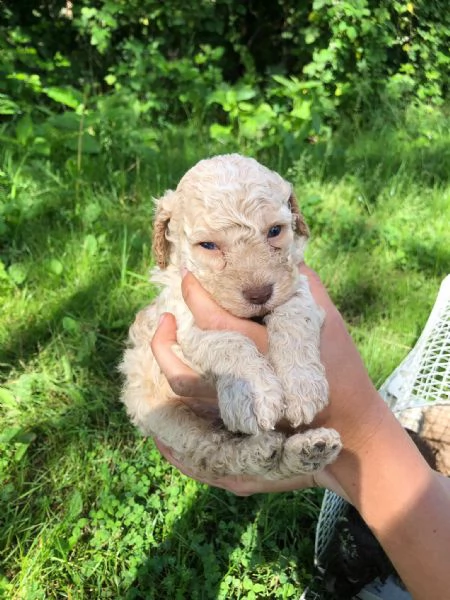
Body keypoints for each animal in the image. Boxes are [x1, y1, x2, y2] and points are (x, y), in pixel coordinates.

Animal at [119, 154, 342, 478]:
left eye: (275, 231)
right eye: (208, 245)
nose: (260, 295)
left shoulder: (298, 286)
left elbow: (293, 317)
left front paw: (302, 386)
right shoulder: (181, 319)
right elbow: (226, 340)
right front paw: (254, 394)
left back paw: (309, 450)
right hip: (169, 419)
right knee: (218, 452)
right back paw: (262, 452)